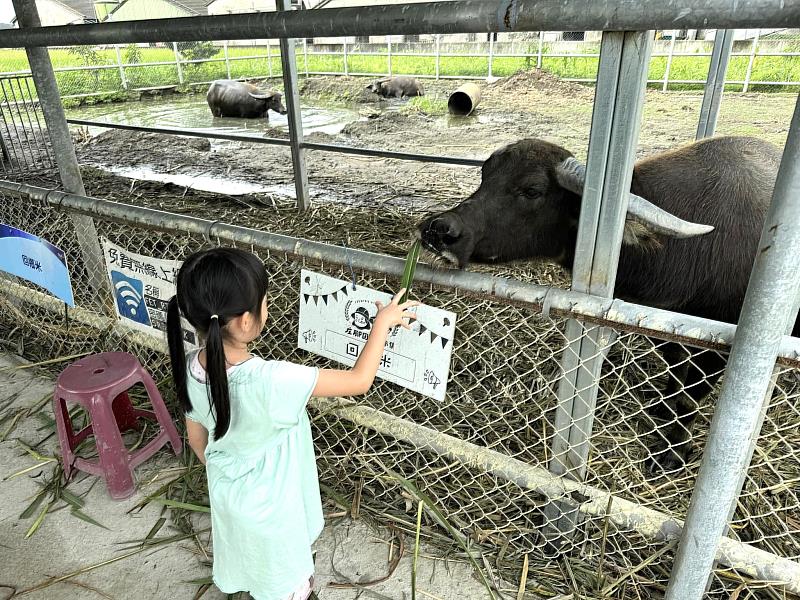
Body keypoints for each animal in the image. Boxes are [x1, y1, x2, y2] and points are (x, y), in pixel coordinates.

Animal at [416, 137, 792, 474]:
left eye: (533, 190)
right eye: (485, 175)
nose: (440, 230)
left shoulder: (719, 349)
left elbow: (691, 395)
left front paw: (672, 450)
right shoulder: (664, 325)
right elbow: (677, 375)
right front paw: (663, 408)